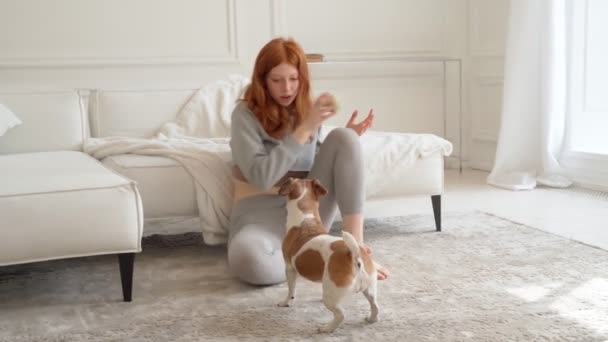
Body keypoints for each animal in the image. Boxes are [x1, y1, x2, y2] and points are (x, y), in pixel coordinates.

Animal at [276, 178, 380, 332]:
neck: (305, 220)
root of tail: (354, 255)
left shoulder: (289, 268)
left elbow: (291, 290)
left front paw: (286, 302)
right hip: (369, 289)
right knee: (375, 306)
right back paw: (371, 319)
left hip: (332, 299)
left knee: (340, 315)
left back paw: (327, 328)